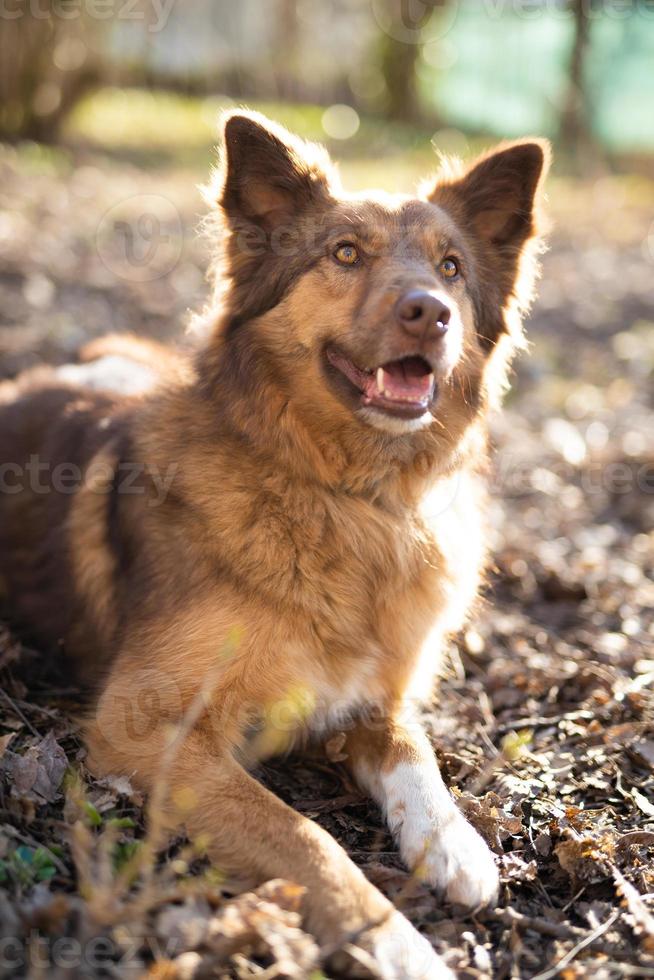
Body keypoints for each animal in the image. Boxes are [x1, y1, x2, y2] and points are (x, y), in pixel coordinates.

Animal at [0, 111, 552, 976]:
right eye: (345, 254)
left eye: (452, 267)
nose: (432, 312)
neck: (349, 498)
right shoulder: (142, 723)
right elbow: (306, 837)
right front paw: (393, 940)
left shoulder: (379, 694)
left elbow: (414, 750)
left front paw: (454, 843)